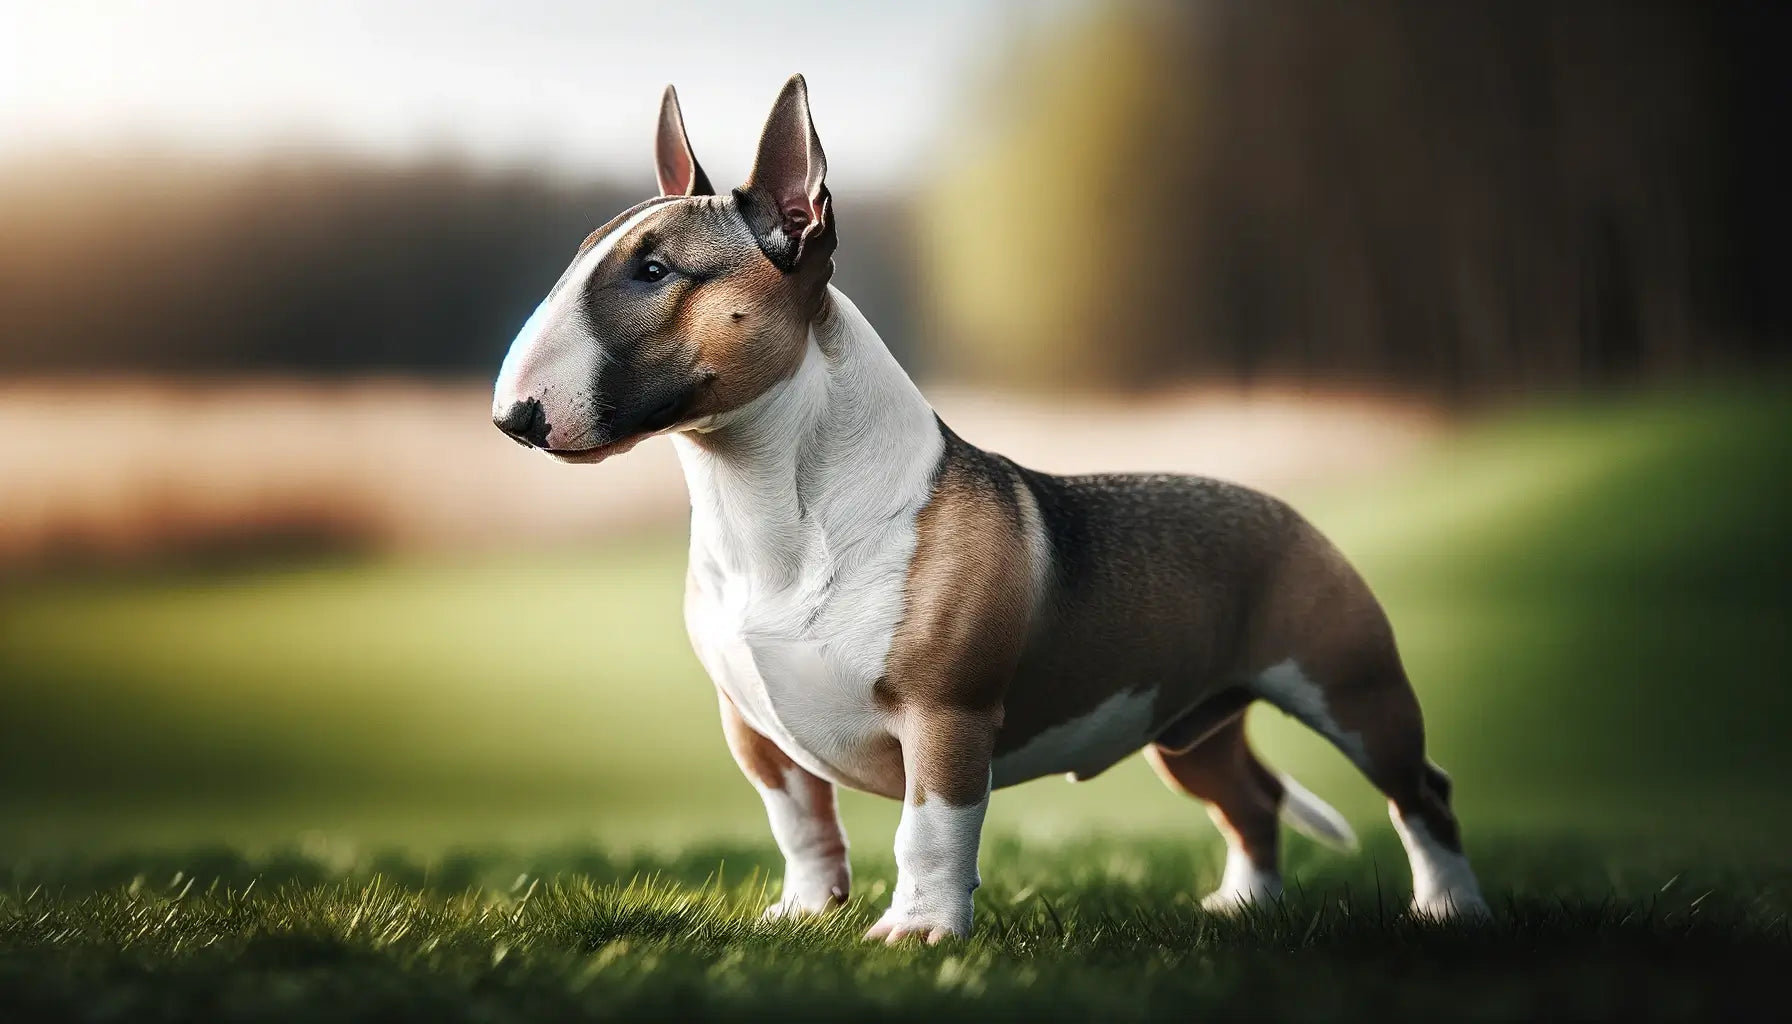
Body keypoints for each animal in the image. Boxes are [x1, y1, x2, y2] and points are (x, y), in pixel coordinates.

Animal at [491, 73, 1483, 946]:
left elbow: (931, 828)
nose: (512, 419)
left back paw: (1449, 909)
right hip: (1188, 726)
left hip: (1353, 690)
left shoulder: (947, 717)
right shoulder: (754, 732)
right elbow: (801, 825)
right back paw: (1245, 906)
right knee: (1254, 800)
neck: (768, 499)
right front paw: (807, 914)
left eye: (656, 271)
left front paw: (920, 933)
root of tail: (1284, 509)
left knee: (1422, 790)